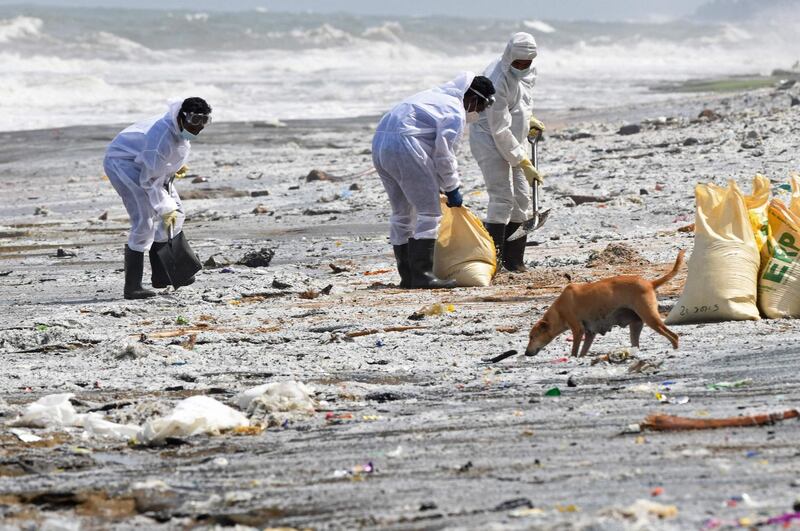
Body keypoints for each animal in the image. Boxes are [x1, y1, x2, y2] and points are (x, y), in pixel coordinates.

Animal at [524, 250, 688, 358]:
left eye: (532, 337)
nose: (526, 353)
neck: (559, 310)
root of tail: (649, 283)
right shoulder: (589, 333)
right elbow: (583, 351)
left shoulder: (578, 330)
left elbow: (575, 351)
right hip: (636, 325)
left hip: (651, 318)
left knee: (674, 336)